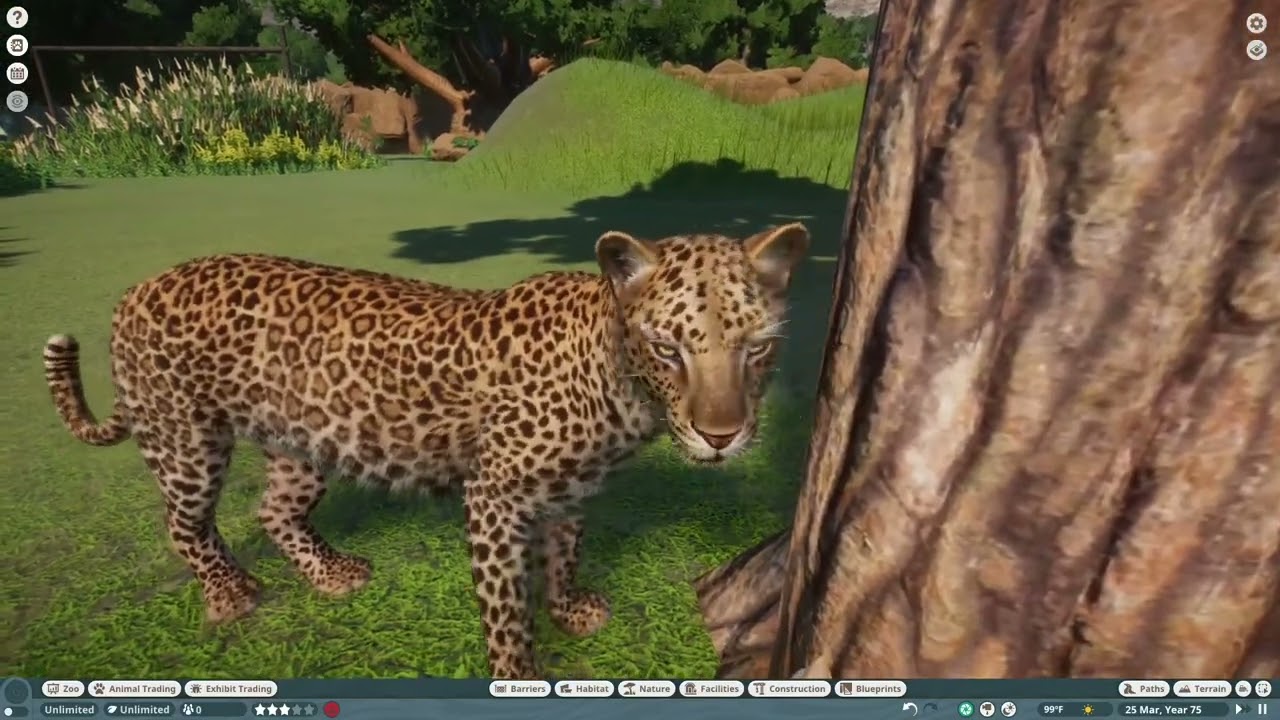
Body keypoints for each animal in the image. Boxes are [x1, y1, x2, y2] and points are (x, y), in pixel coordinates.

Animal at [42, 222, 810, 679]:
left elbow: (565, 553)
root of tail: (136, 290)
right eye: (668, 349)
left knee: (274, 511)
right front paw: (519, 676)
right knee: (183, 523)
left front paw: (570, 609)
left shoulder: (570, 490)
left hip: (305, 439)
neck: (618, 383)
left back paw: (331, 574)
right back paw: (230, 593)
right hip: (187, 441)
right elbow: (506, 606)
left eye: (757, 349)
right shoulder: (495, 499)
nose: (722, 435)